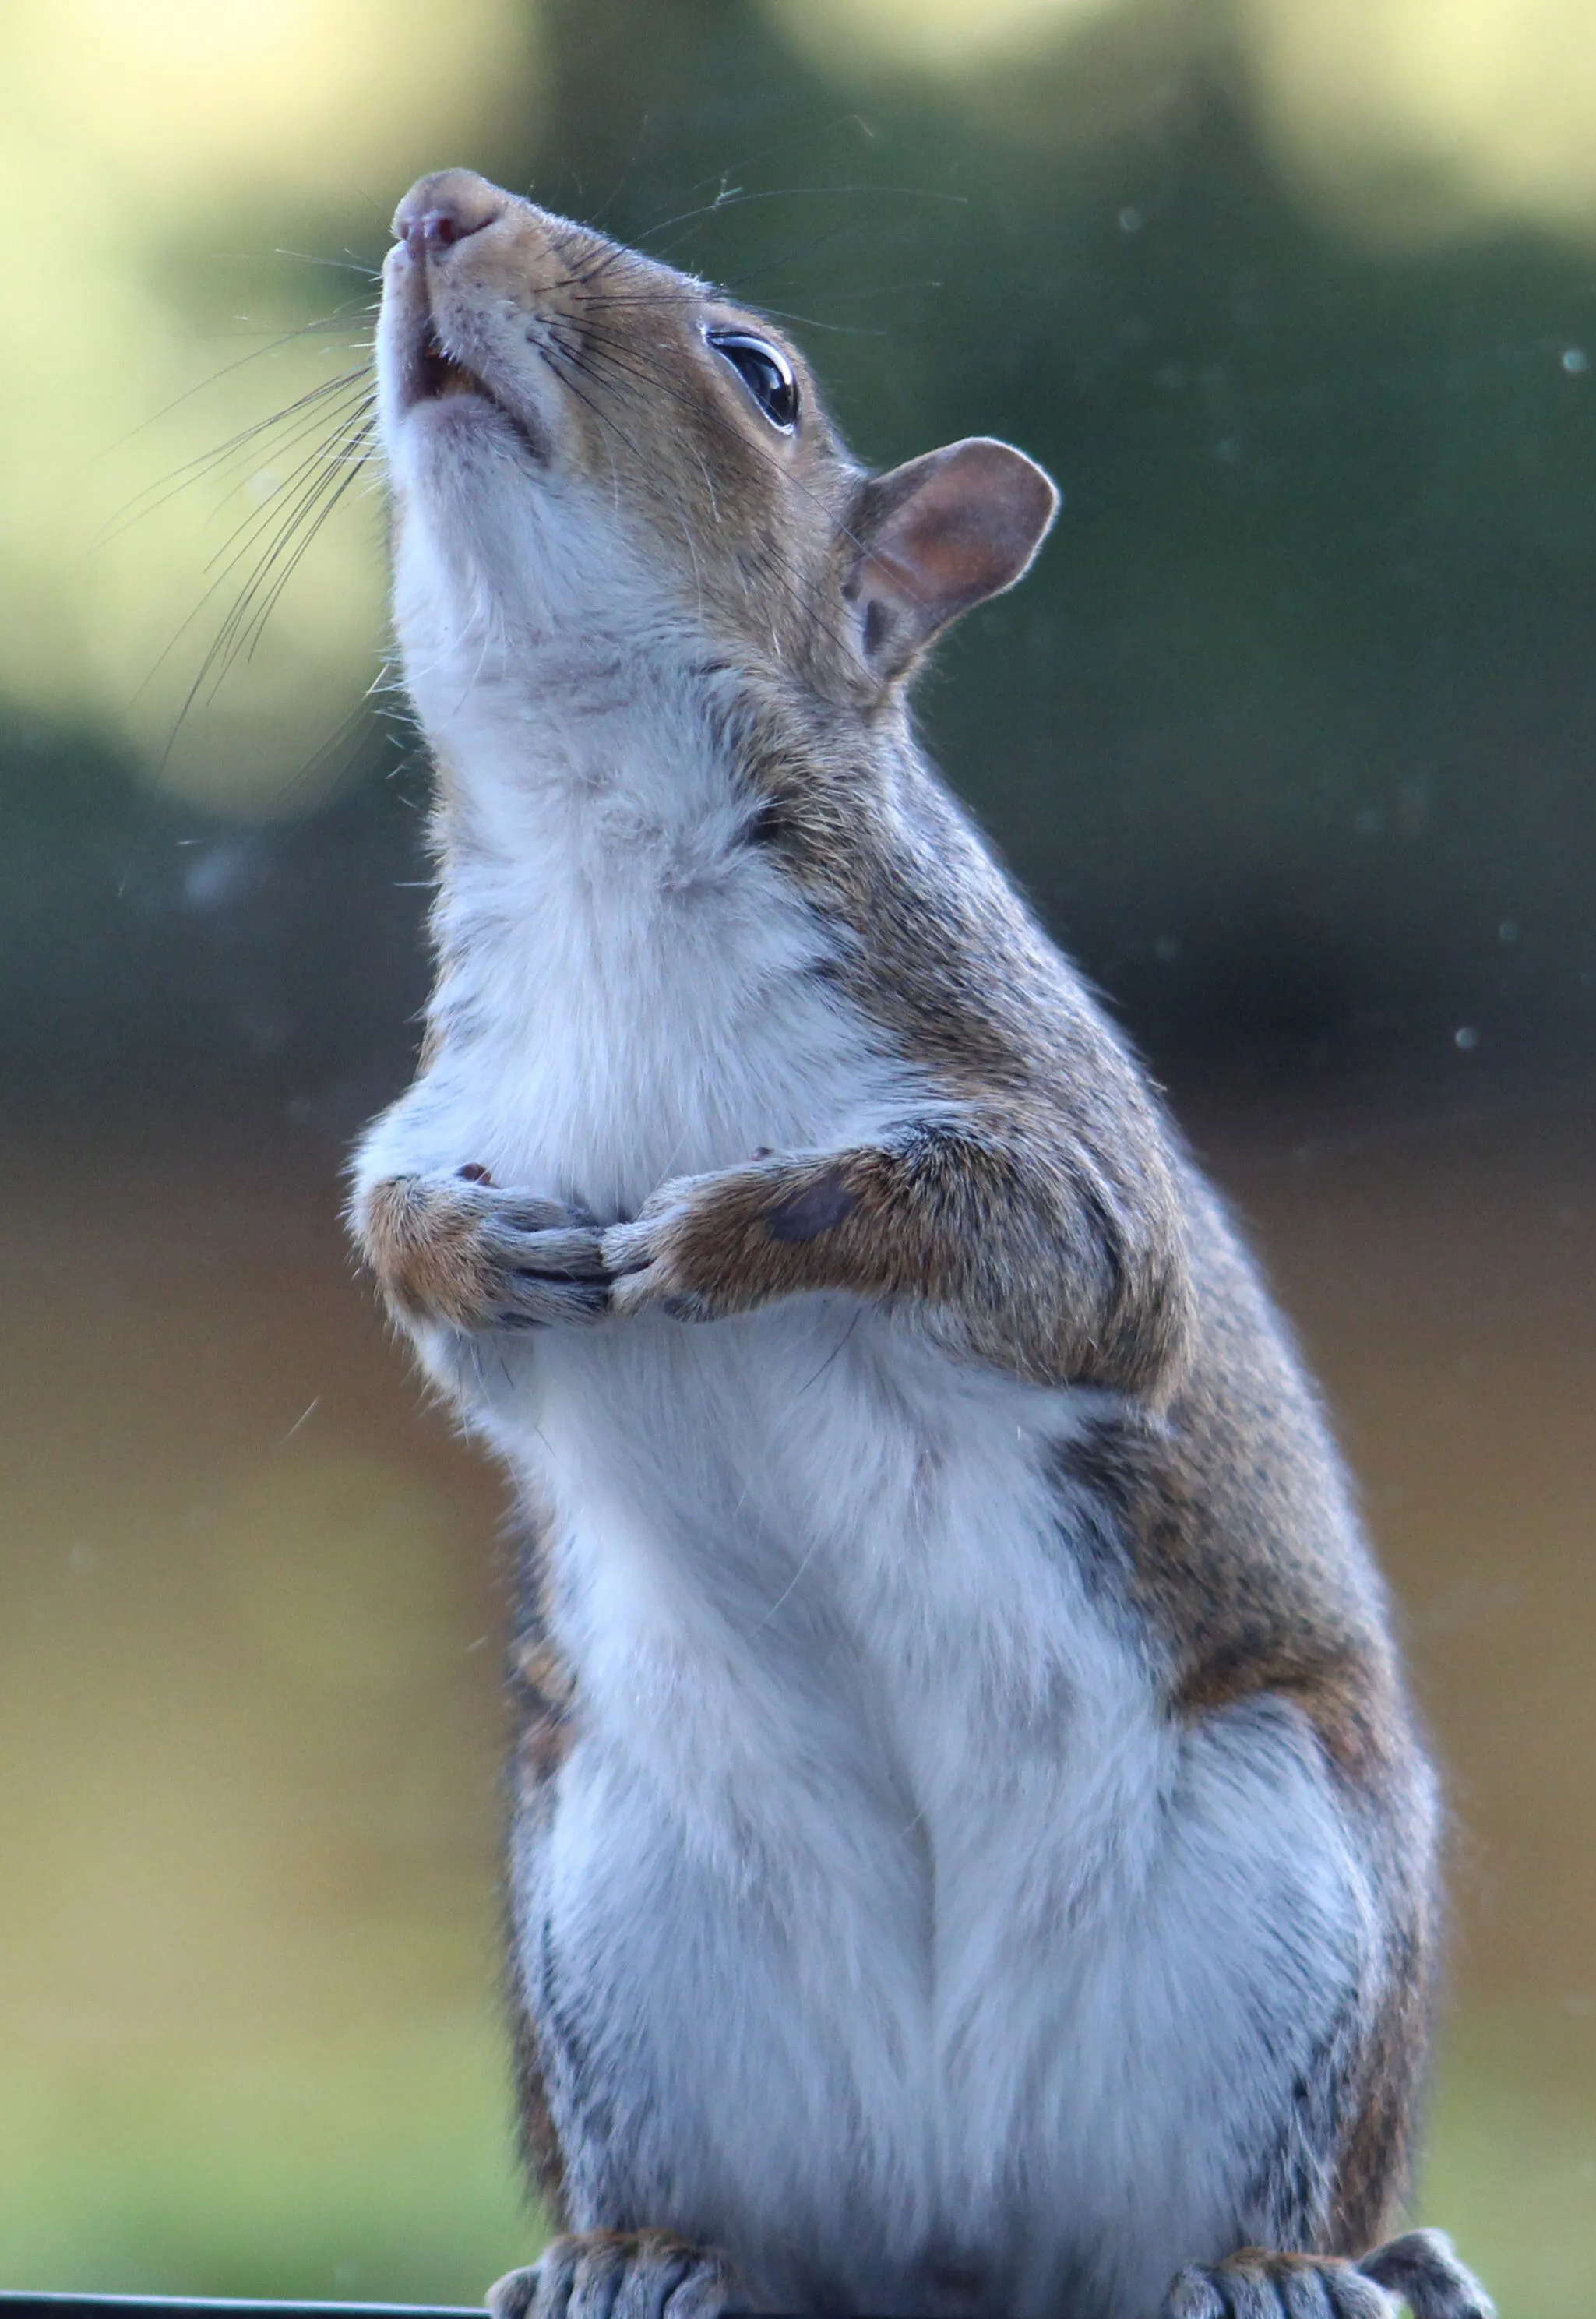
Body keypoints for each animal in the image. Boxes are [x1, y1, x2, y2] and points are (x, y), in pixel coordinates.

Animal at [348, 169, 1493, 2319]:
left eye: (760, 376)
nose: (440, 210)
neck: (597, 830)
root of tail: (959, 2219)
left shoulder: (1020, 1092)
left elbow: (1053, 1260)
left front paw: (729, 1231)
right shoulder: (460, 1089)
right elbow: (409, 1254)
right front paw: (475, 1258)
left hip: (1280, 1895)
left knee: (1268, 2185)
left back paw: (1292, 2265)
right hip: (620, 1906)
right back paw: (627, 2257)